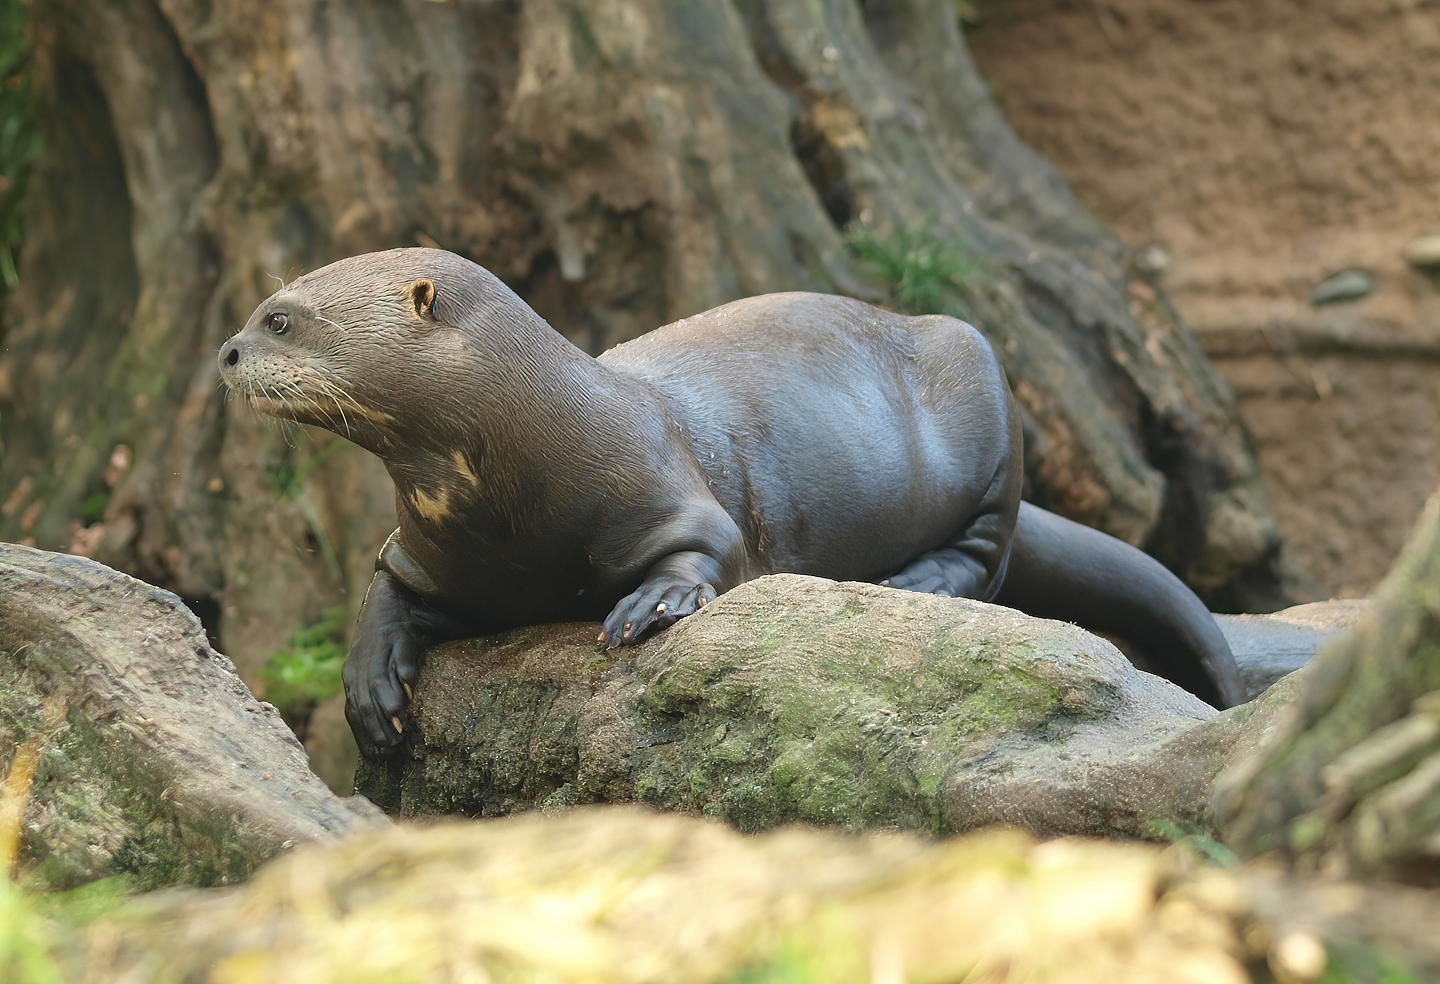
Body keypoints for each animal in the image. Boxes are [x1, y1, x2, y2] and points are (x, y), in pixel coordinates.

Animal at [218, 248, 1244, 760]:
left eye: (282, 319)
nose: (225, 351)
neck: (518, 477)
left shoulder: (668, 488)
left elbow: (711, 554)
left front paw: (649, 606)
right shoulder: (431, 551)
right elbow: (381, 592)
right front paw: (370, 688)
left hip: (986, 393)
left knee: (987, 559)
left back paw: (917, 582)